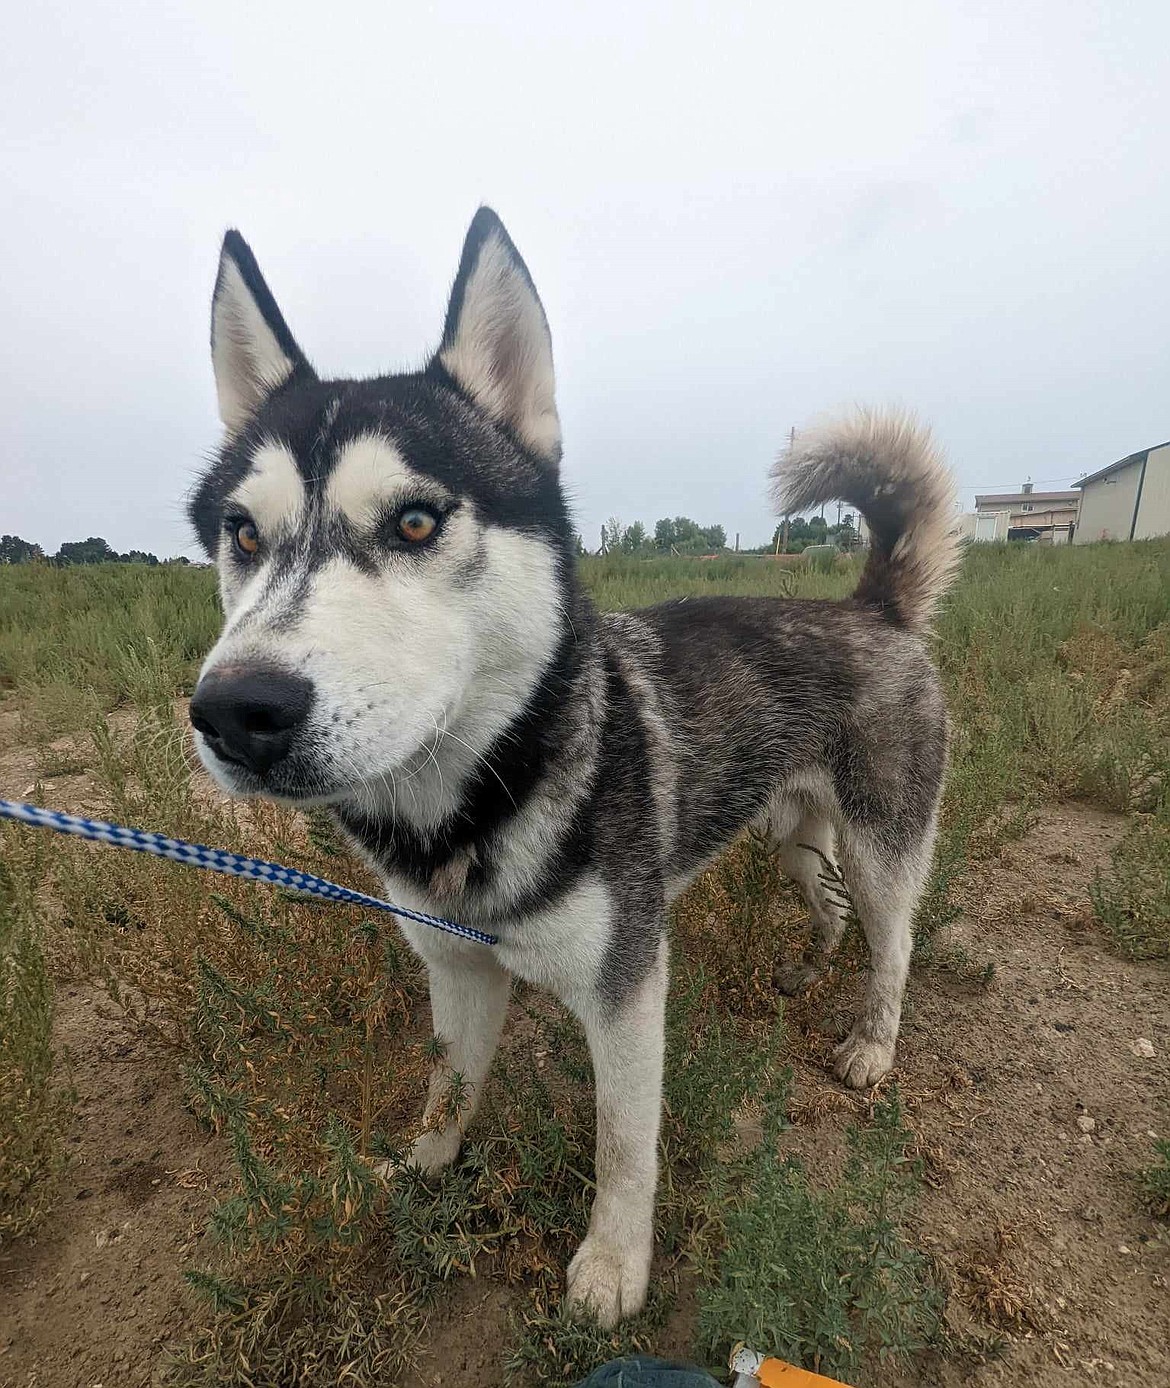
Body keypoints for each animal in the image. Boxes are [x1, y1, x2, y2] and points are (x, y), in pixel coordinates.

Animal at [190, 205, 960, 1321]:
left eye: (415, 519)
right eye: (243, 534)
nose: (235, 711)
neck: (472, 807)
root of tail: (872, 607)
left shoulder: (629, 984)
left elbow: (623, 1146)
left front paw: (612, 1267)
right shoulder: (457, 969)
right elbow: (447, 1086)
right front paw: (422, 1172)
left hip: (882, 842)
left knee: (893, 938)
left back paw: (870, 1044)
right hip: (791, 838)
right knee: (825, 906)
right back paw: (806, 962)